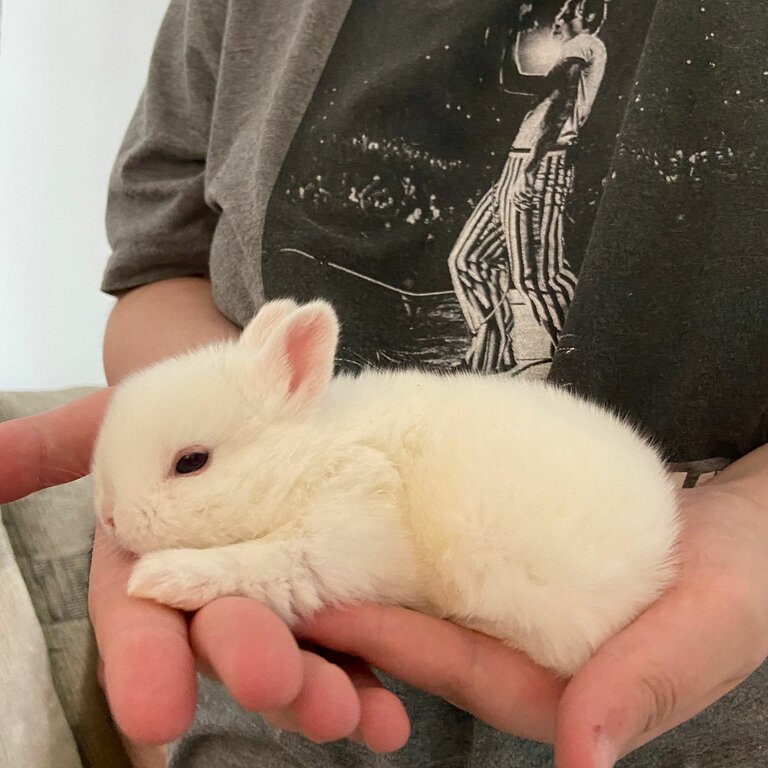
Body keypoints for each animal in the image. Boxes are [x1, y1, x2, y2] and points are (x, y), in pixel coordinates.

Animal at [93, 298, 680, 672]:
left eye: (191, 462)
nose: (110, 517)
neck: (309, 455)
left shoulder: (339, 538)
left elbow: (261, 563)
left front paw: (163, 578)